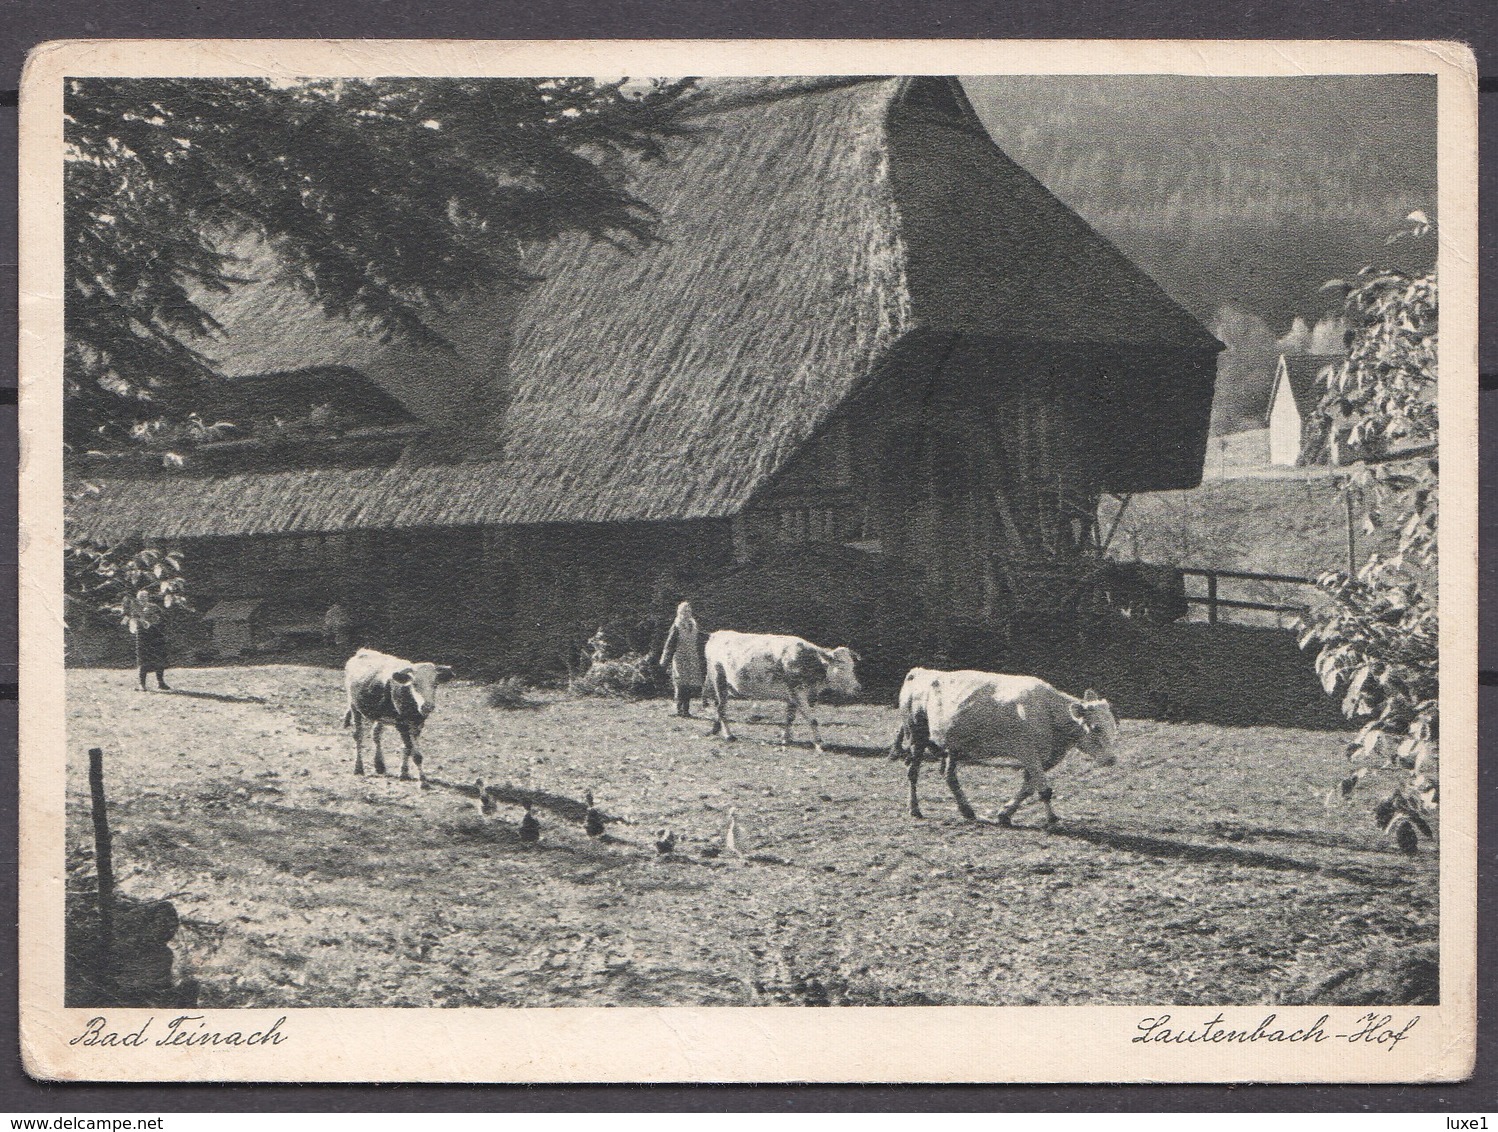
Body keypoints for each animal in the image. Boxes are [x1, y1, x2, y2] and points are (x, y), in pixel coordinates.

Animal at [704, 631, 862, 754]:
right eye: (841, 668)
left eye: (853, 666)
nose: (857, 688)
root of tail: (717, 634)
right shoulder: (798, 693)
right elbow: (813, 720)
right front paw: (818, 744)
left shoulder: (792, 695)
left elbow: (790, 718)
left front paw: (786, 739)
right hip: (719, 680)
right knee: (721, 709)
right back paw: (729, 735)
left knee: (719, 707)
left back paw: (715, 729)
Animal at [886, 667, 1114, 826]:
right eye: (1095, 728)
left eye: (1113, 726)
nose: (1112, 759)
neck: (1048, 712)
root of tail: (920, 672)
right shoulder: (1027, 752)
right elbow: (1044, 790)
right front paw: (1052, 818)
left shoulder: (1043, 758)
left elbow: (1027, 789)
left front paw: (1005, 813)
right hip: (917, 736)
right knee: (913, 773)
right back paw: (915, 809)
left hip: (954, 746)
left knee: (950, 776)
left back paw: (967, 810)